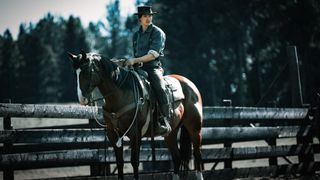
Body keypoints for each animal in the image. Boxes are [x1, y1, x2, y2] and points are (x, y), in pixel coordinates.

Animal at [68, 50, 204, 179]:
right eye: (75, 73)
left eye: (87, 71)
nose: (82, 99)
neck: (120, 95)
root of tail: (189, 83)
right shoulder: (113, 134)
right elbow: (120, 162)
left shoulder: (135, 134)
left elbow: (135, 162)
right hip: (171, 132)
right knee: (177, 158)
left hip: (194, 128)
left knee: (197, 156)